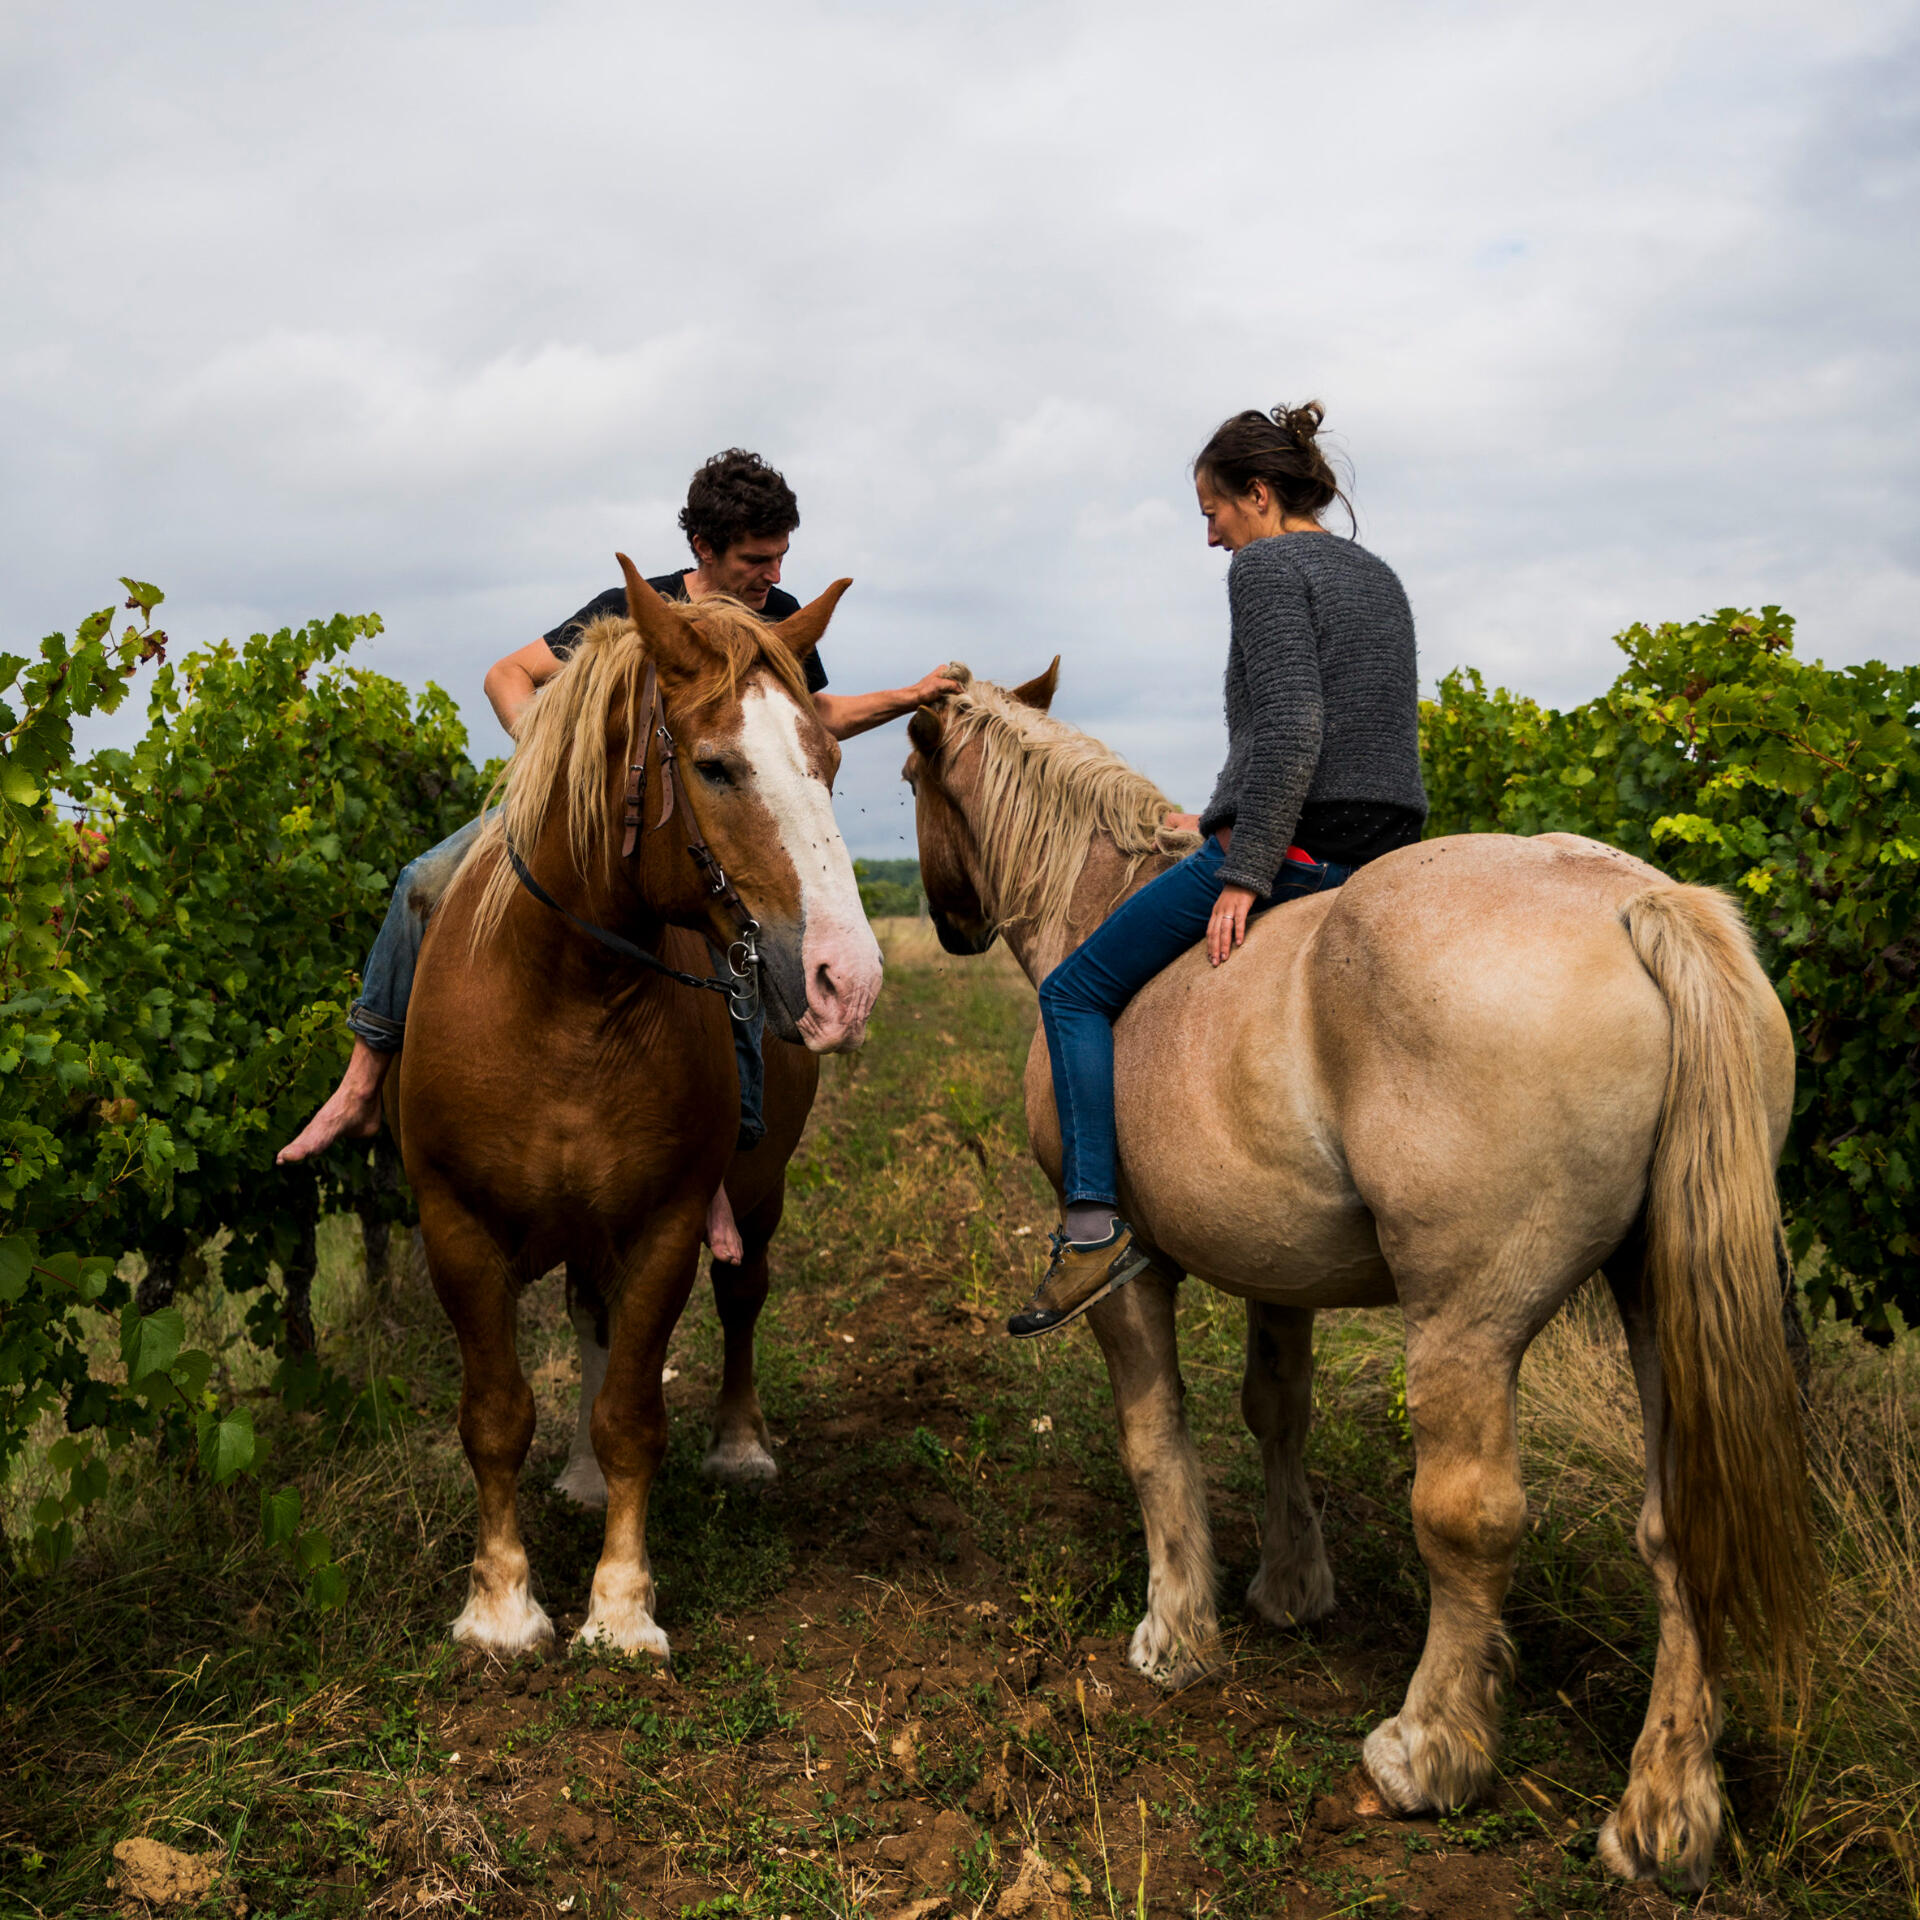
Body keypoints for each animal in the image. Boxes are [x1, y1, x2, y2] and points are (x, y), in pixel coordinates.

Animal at [393, 558, 882, 1660]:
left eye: (831, 759)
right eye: (715, 767)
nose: (846, 981)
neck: (568, 995)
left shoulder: (665, 1220)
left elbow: (633, 1415)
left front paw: (619, 1608)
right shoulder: (456, 1225)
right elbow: (497, 1413)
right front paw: (500, 1607)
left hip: (755, 1185)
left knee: (740, 1295)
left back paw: (739, 1447)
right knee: (589, 1314)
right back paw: (574, 1477)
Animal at [904, 661, 1813, 1890]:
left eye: (911, 780)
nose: (947, 925)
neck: (1093, 899)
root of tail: (1639, 906)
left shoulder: (1130, 1276)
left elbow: (1156, 1438)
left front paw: (1177, 1633)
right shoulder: (1274, 1264)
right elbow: (1274, 1411)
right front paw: (1292, 1590)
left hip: (1466, 1324)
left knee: (1470, 1521)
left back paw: (1428, 1753)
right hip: (1662, 1302)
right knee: (1680, 1528)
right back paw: (1665, 1812)